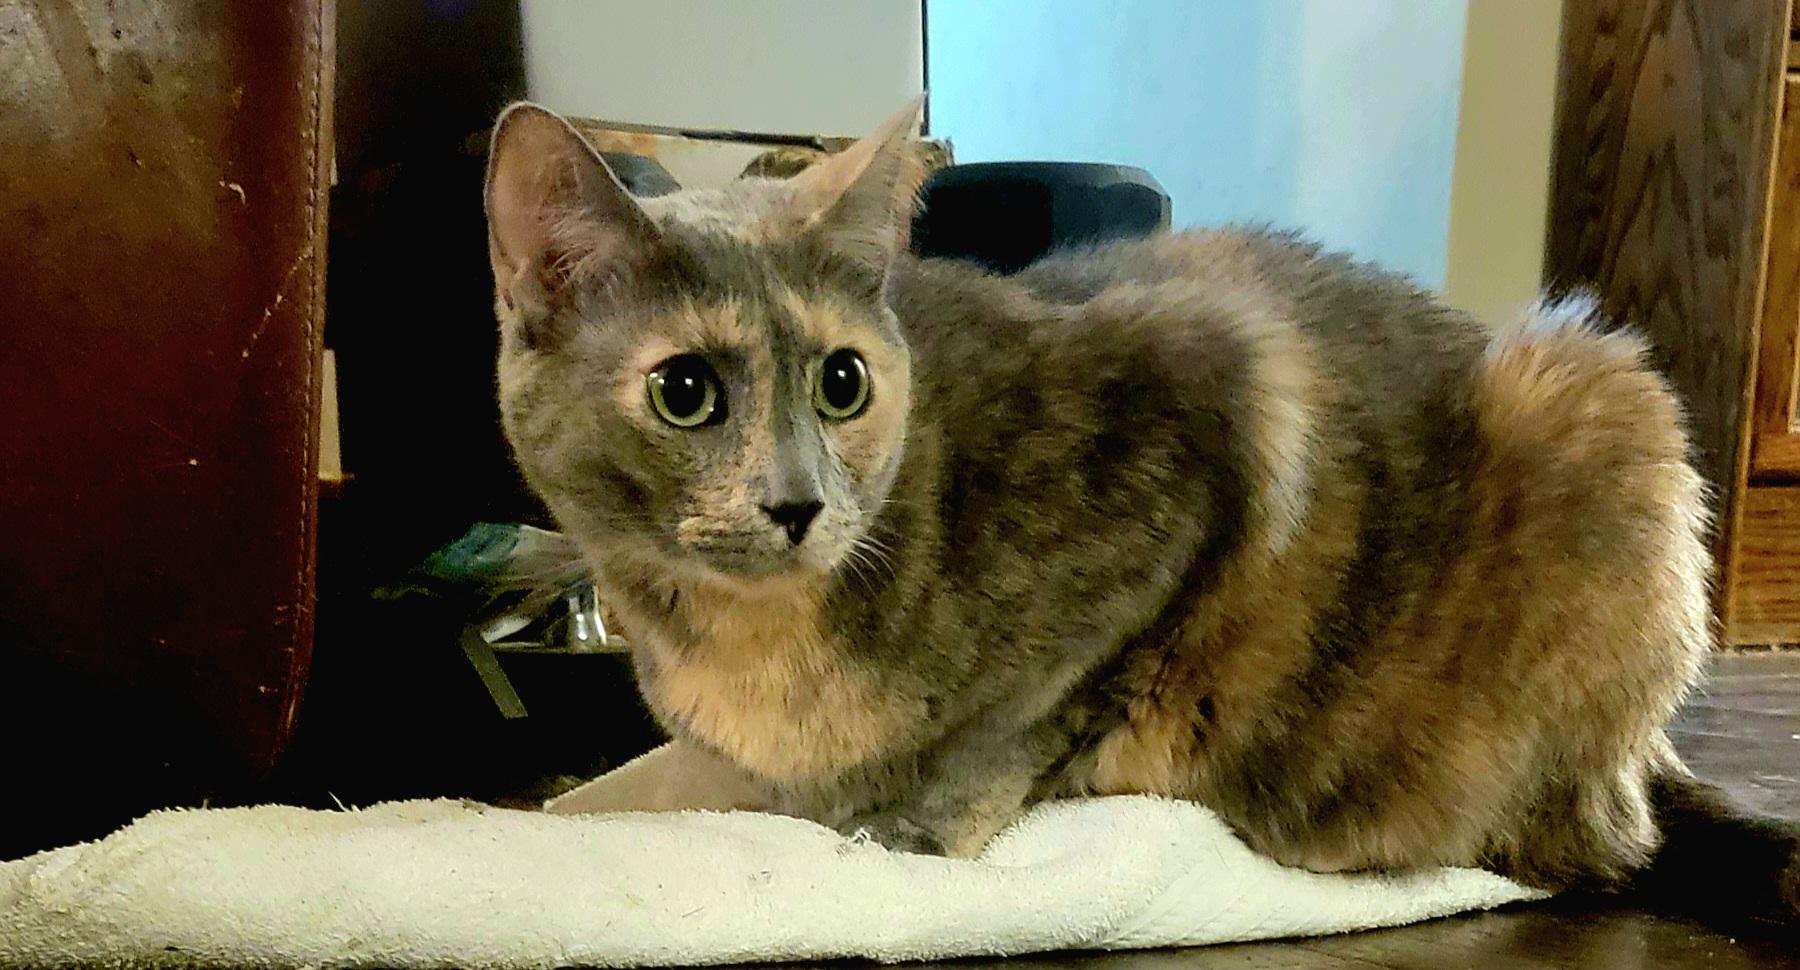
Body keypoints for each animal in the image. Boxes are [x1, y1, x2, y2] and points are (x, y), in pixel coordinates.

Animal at [482, 101, 1800, 927]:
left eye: (842, 381)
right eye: (685, 392)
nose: (798, 502)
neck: (744, 645)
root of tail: (1651, 759)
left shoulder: (1205, 436)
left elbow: (1034, 702)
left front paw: (901, 832)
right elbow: (589, 799)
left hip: (1601, 398)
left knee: (1582, 842)